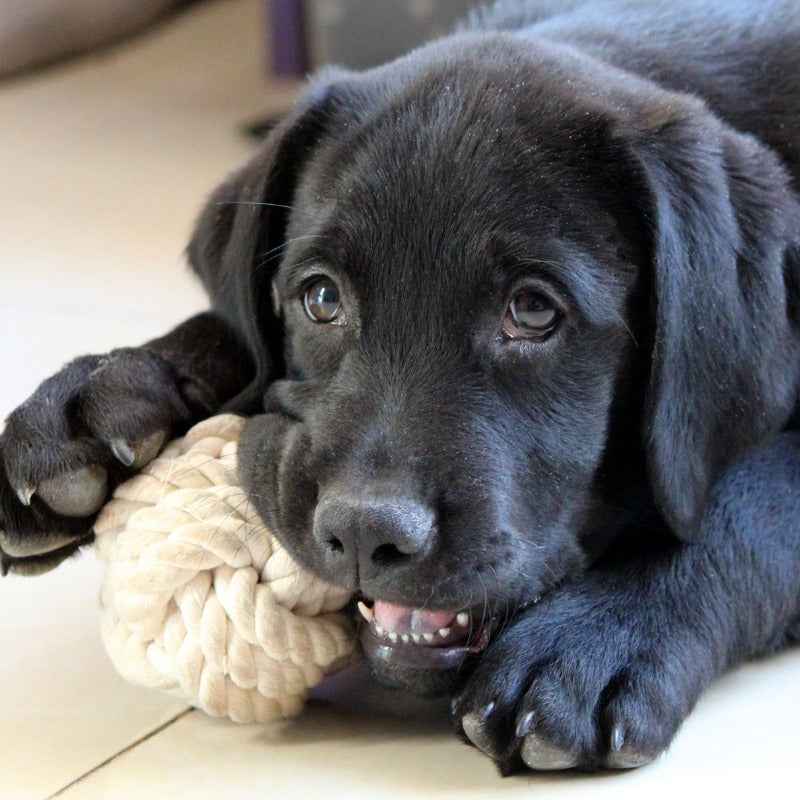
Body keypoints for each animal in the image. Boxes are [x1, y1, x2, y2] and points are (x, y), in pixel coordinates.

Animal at [1, 0, 800, 776]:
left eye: (534, 310)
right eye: (321, 298)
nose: (364, 532)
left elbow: (749, 497)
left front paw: (593, 638)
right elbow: (227, 331)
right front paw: (101, 396)